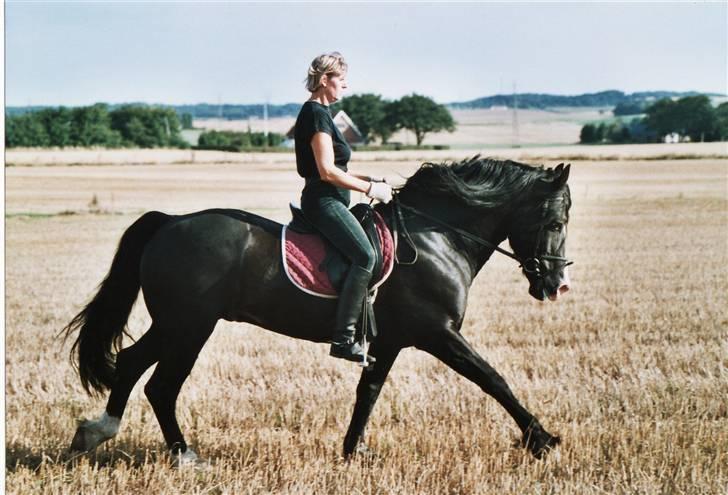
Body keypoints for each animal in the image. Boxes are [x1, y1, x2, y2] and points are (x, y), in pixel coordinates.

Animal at [62, 158, 572, 464]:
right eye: (554, 221)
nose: (556, 286)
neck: (436, 237)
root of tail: (170, 222)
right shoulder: (438, 333)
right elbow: (493, 379)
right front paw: (542, 439)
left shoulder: (389, 340)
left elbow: (368, 392)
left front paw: (352, 452)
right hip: (190, 326)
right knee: (161, 385)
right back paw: (184, 455)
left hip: (175, 323)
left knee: (131, 364)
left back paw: (95, 433)